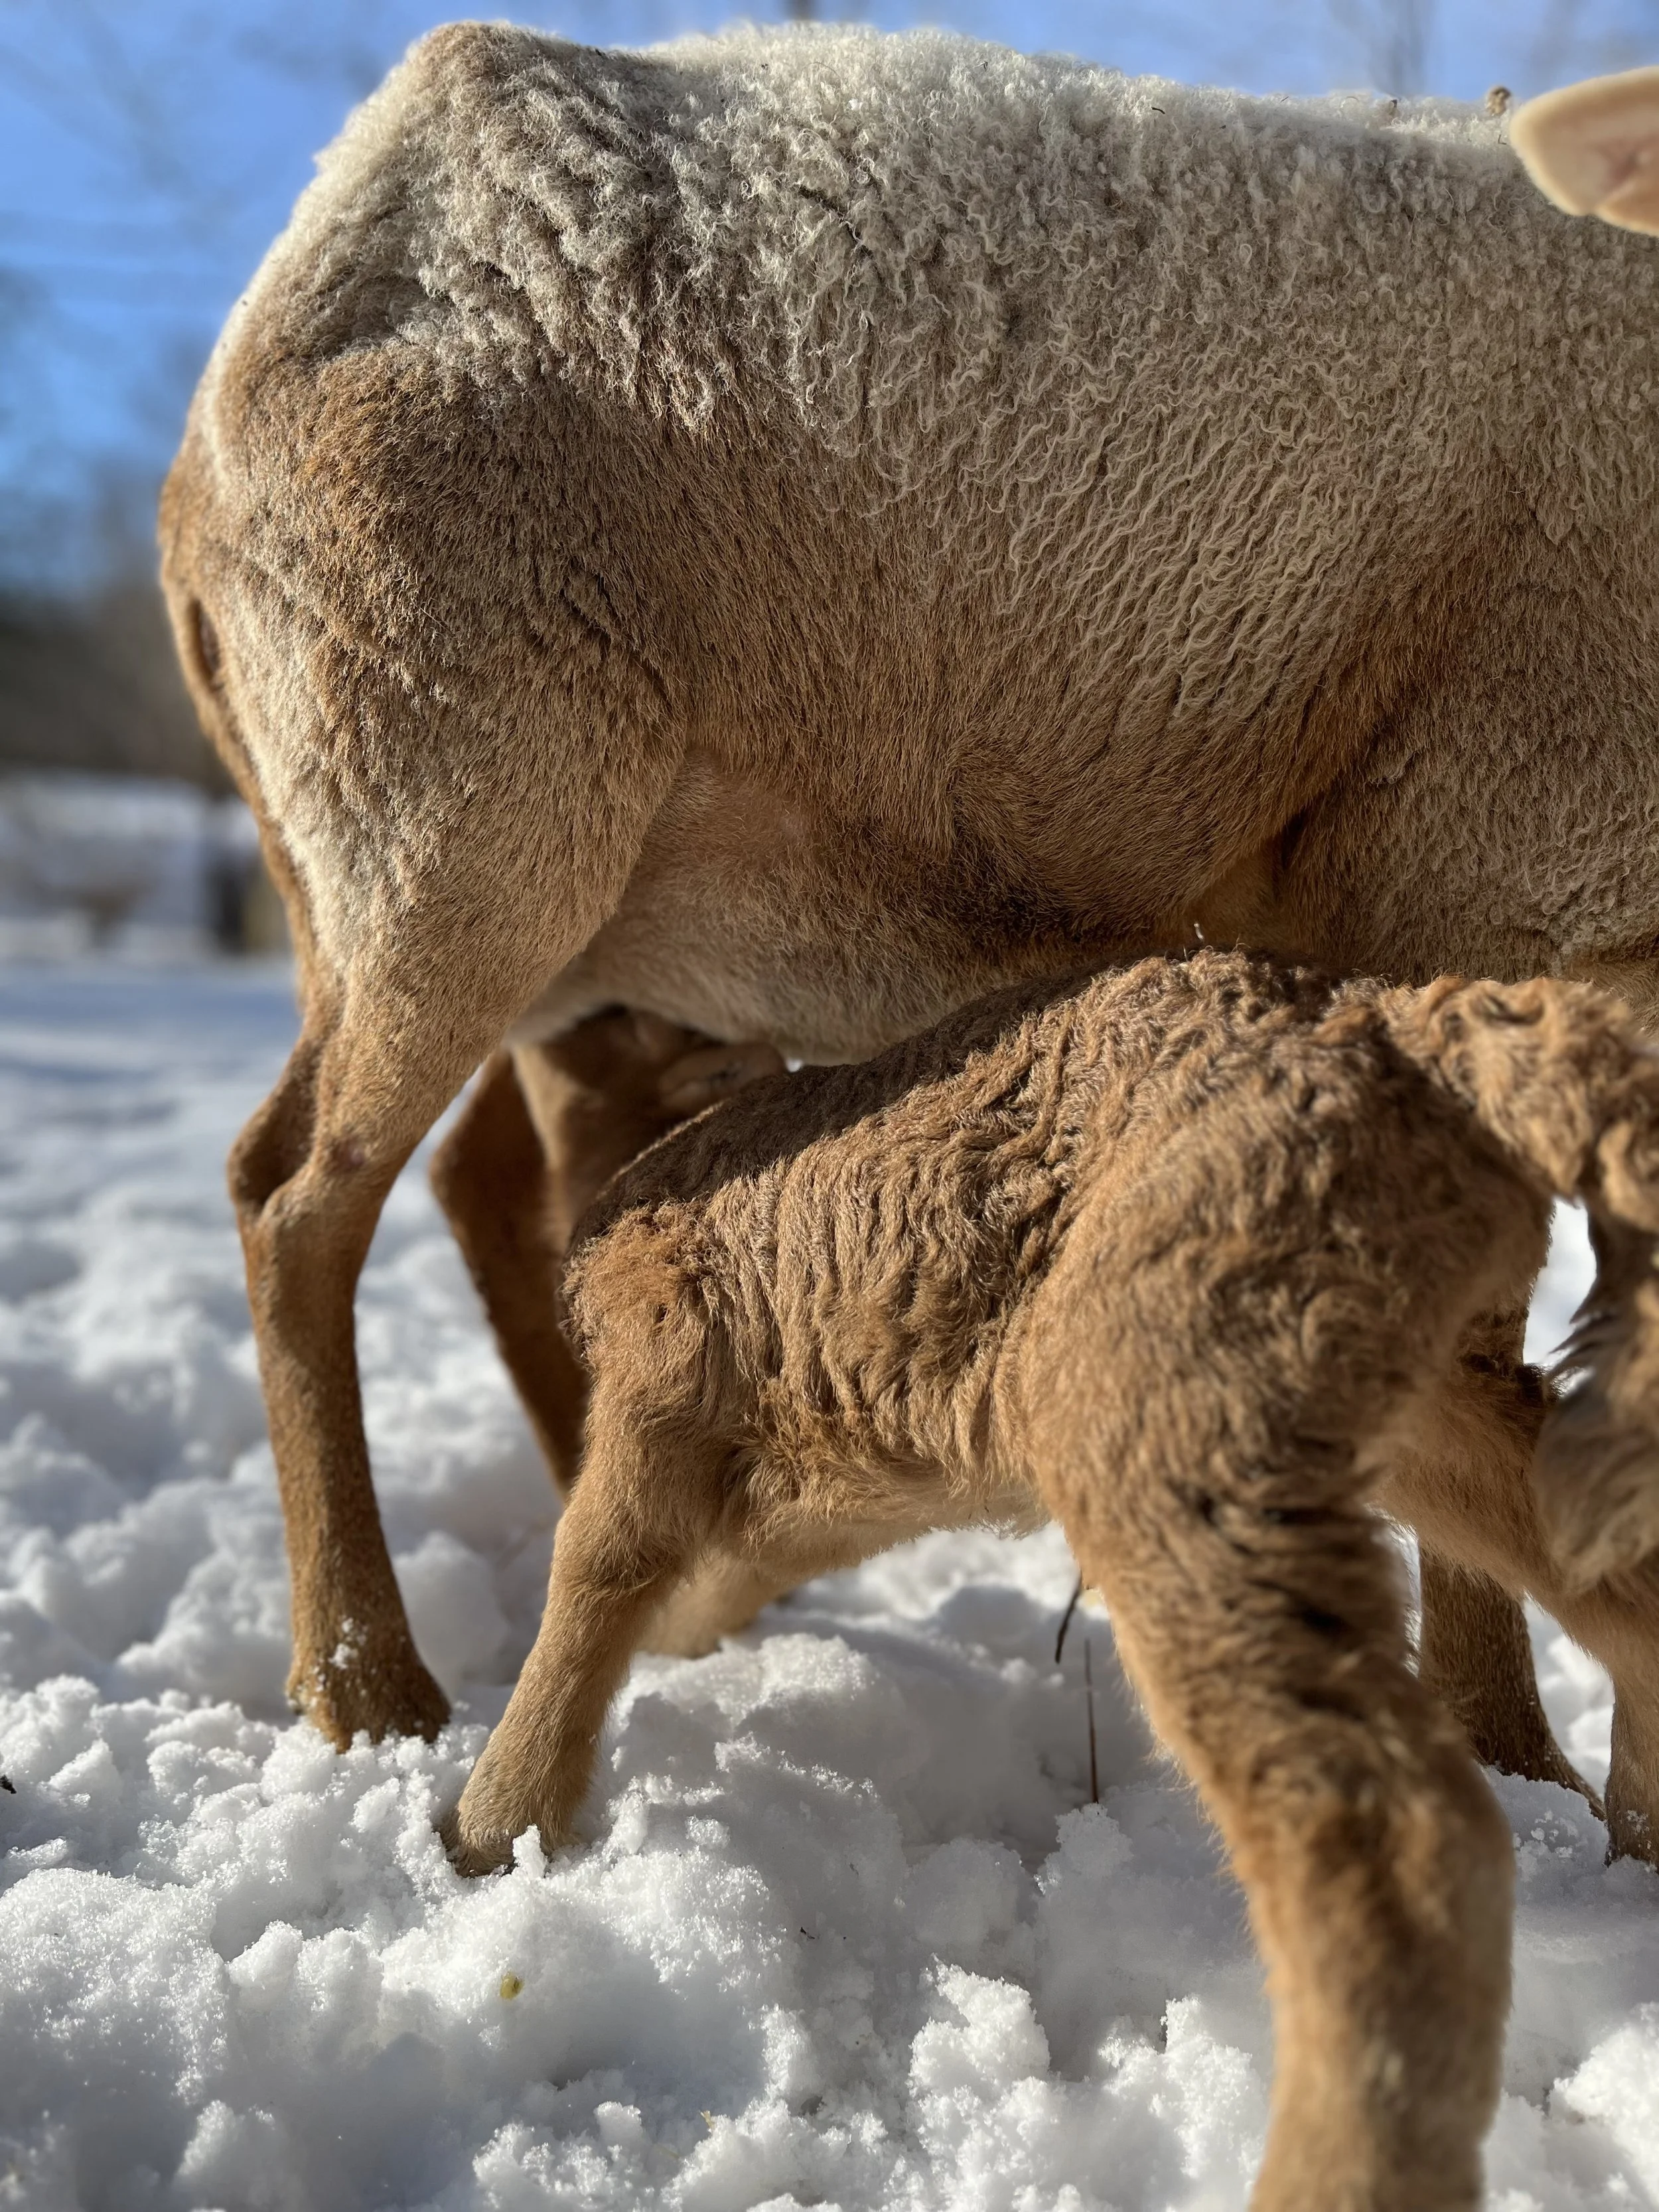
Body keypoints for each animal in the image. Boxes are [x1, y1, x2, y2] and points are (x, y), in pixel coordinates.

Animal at [159, 22, 1659, 1791]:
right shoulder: (1453, 872)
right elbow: (1489, 1313)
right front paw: (1518, 1756)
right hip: (456, 787)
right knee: (297, 1201)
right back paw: (371, 1686)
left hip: (521, 887)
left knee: (477, 1179)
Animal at [446, 948, 1659, 2210]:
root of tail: (1418, 1037)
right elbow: (704, 1580)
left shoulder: (662, 1364)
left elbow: (598, 1566)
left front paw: (494, 1829)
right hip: (1408, 1388)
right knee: (1628, 1592)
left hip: (1167, 1386)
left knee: (1395, 1841)